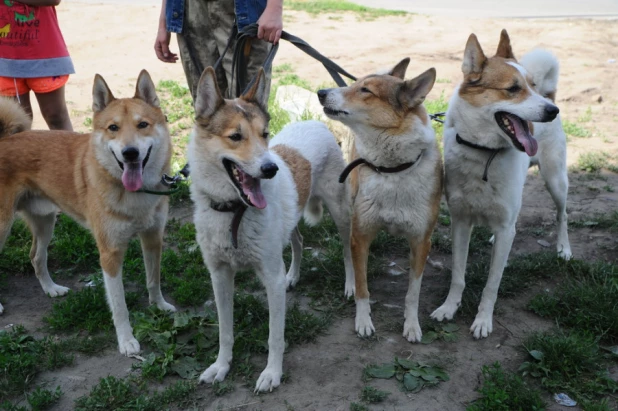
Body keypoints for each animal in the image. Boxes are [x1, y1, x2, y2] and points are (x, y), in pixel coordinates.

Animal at [0, 70, 176, 354]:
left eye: (143, 125)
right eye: (113, 128)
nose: (130, 153)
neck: (134, 193)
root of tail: (5, 139)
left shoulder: (152, 237)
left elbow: (154, 279)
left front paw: (159, 305)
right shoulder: (110, 254)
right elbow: (119, 305)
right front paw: (126, 341)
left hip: (45, 221)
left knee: (36, 256)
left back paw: (51, 289)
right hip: (3, 225)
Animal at [186, 67, 352, 392]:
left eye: (264, 134)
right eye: (235, 136)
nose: (270, 169)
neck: (233, 212)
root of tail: (315, 122)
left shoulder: (270, 278)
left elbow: (275, 336)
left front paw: (272, 373)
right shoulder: (219, 276)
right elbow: (225, 331)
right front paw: (221, 366)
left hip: (340, 213)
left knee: (349, 250)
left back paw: (351, 286)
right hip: (288, 228)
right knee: (298, 242)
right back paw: (293, 276)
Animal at [318, 57, 442, 342]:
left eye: (365, 90)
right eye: (355, 83)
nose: (320, 92)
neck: (392, 171)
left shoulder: (422, 242)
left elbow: (413, 293)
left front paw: (412, 325)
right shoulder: (361, 235)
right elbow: (363, 287)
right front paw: (363, 321)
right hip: (345, 214)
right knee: (348, 255)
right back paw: (349, 284)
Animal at [428, 28, 568, 338]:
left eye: (530, 86)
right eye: (513, 89)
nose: (553, 110)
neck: (484, 154)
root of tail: (550, 92)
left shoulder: (504, 226)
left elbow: (492, 285)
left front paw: (483, 321)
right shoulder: (460, 221)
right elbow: (458, 275)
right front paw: (448, 307)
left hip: (556, 181)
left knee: (563, 214)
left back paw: (564, 249)